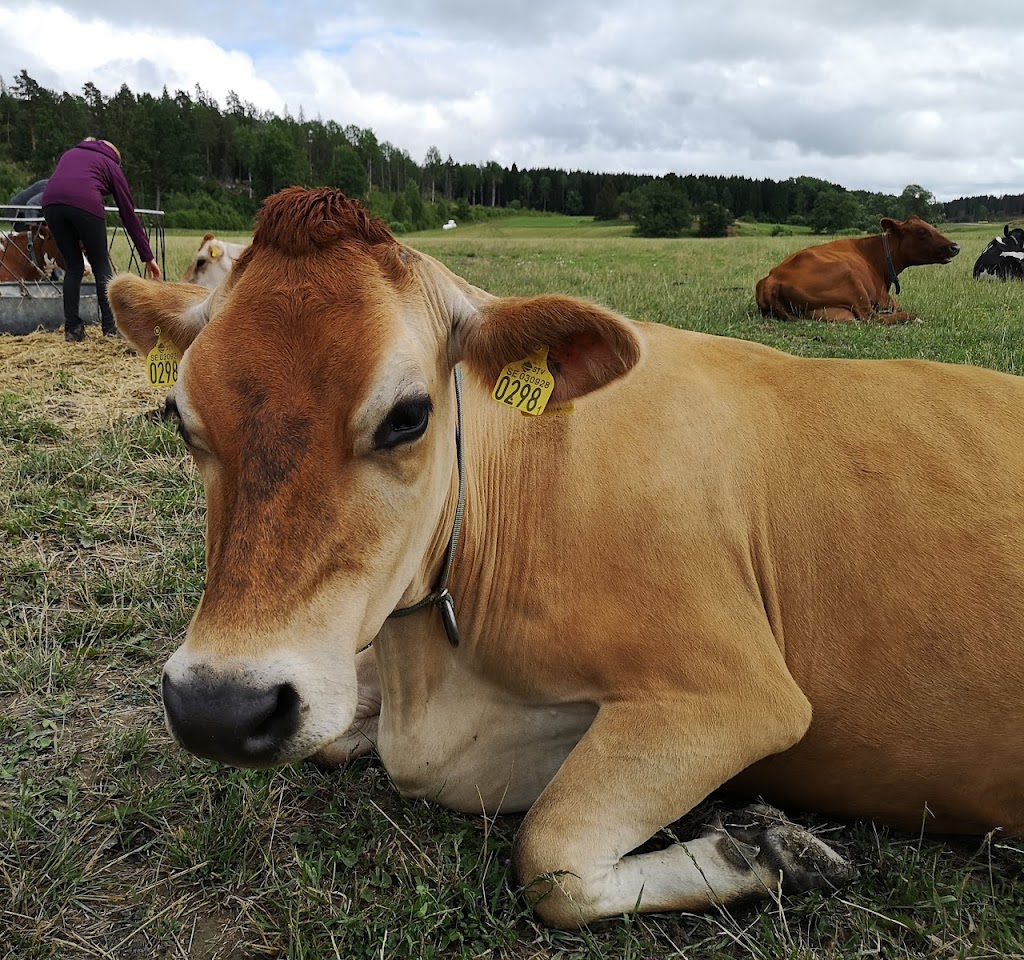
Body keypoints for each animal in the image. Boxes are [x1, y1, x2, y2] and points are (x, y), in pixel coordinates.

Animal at [755, 216, 960, 323]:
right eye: (922, 232)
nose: (955, 247)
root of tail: (770, 279)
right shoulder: (884, 298)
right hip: (850, 277)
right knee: (872, 317)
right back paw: (911, 316)